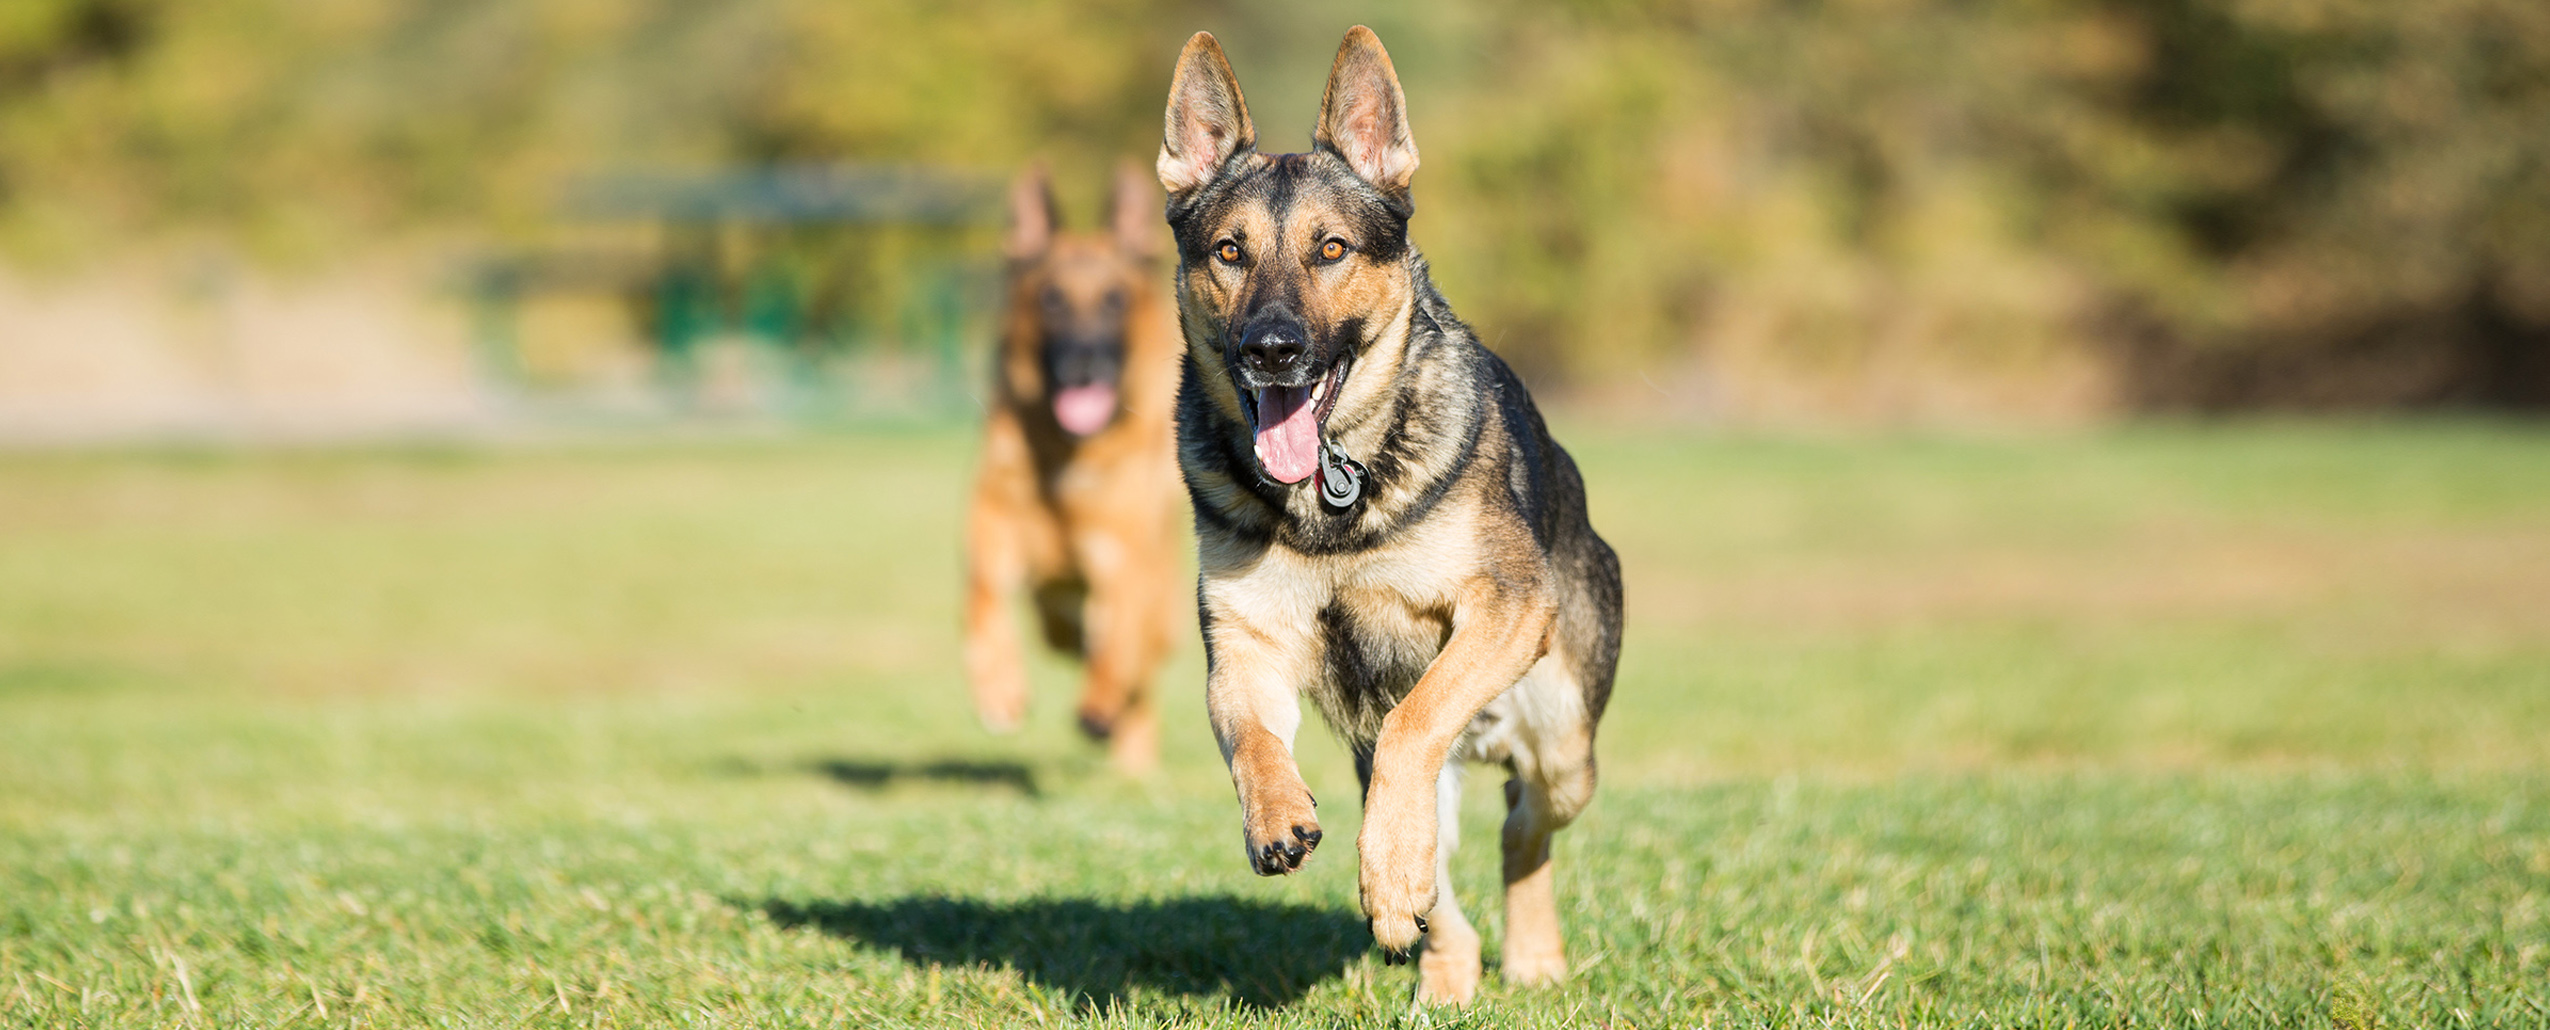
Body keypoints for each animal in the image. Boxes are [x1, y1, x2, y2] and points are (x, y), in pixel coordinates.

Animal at [963, 163, 1183, 775]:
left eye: (1113, 299)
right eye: (1052, 299)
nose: (1083, 363)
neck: (1066, 456)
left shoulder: (1124, 563)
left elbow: (1116, 647)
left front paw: (1099, 705)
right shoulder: (992, 528)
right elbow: (984, 598)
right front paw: (998, 687)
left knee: (1134, 664)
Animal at [1152, 26, 1611, 1004]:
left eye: (1330, 249)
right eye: (1229, 252)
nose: (1272, 349)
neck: (1332, 499)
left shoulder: (1504, 609)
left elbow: (1414, 719)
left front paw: (1392, 874)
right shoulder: (1244, 648)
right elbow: (1253, 740)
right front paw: (1278, 818)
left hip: (1563, 745)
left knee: (1519, 825)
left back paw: (1524, 952)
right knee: (1442, 880)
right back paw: (1438, 960)